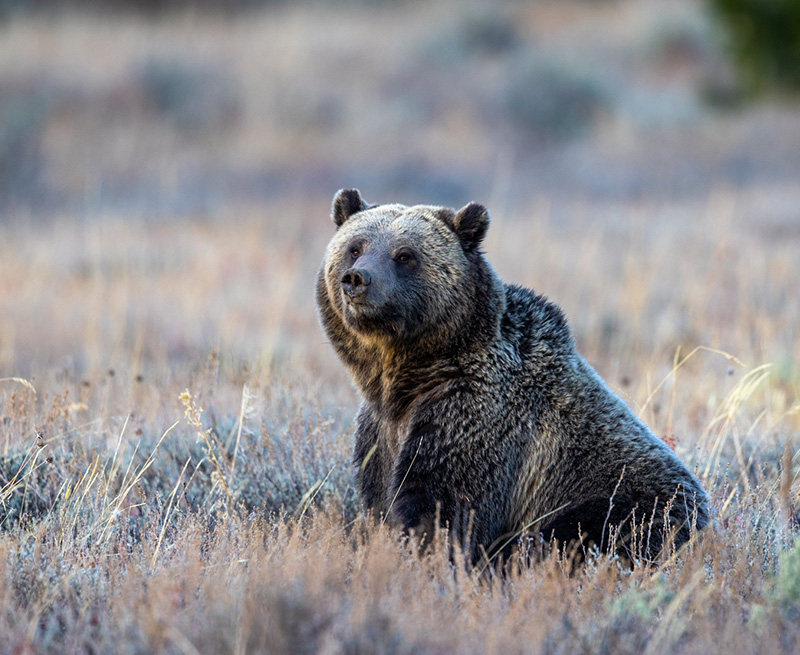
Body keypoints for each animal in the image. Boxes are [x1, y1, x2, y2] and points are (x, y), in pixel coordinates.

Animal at [316, 188, 708, 564]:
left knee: (581, 533)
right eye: (355, 247)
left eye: (404, 255)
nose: (357, 279)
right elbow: (381, 501)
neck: (405, 376)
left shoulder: (473, 414)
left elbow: (445, 507)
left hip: (634, 500)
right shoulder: (380, 429)